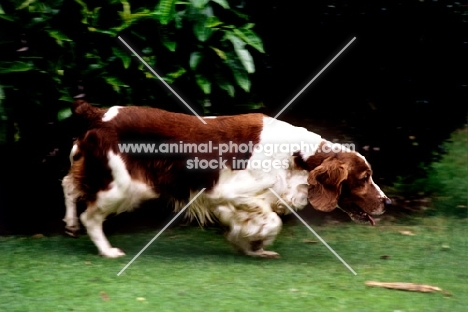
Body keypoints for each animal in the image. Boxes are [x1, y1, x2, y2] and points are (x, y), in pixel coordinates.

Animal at [63, 100, 392, 258]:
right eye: (364, 178)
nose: (387, 202)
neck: (297, 155)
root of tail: (99, 115)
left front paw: (252, 246)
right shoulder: (229, 192)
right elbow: (272, 222)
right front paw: (248, 242)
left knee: (68, 184)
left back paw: (69, 224)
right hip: (126, 186)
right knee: (90, 213)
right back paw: (107, 251)